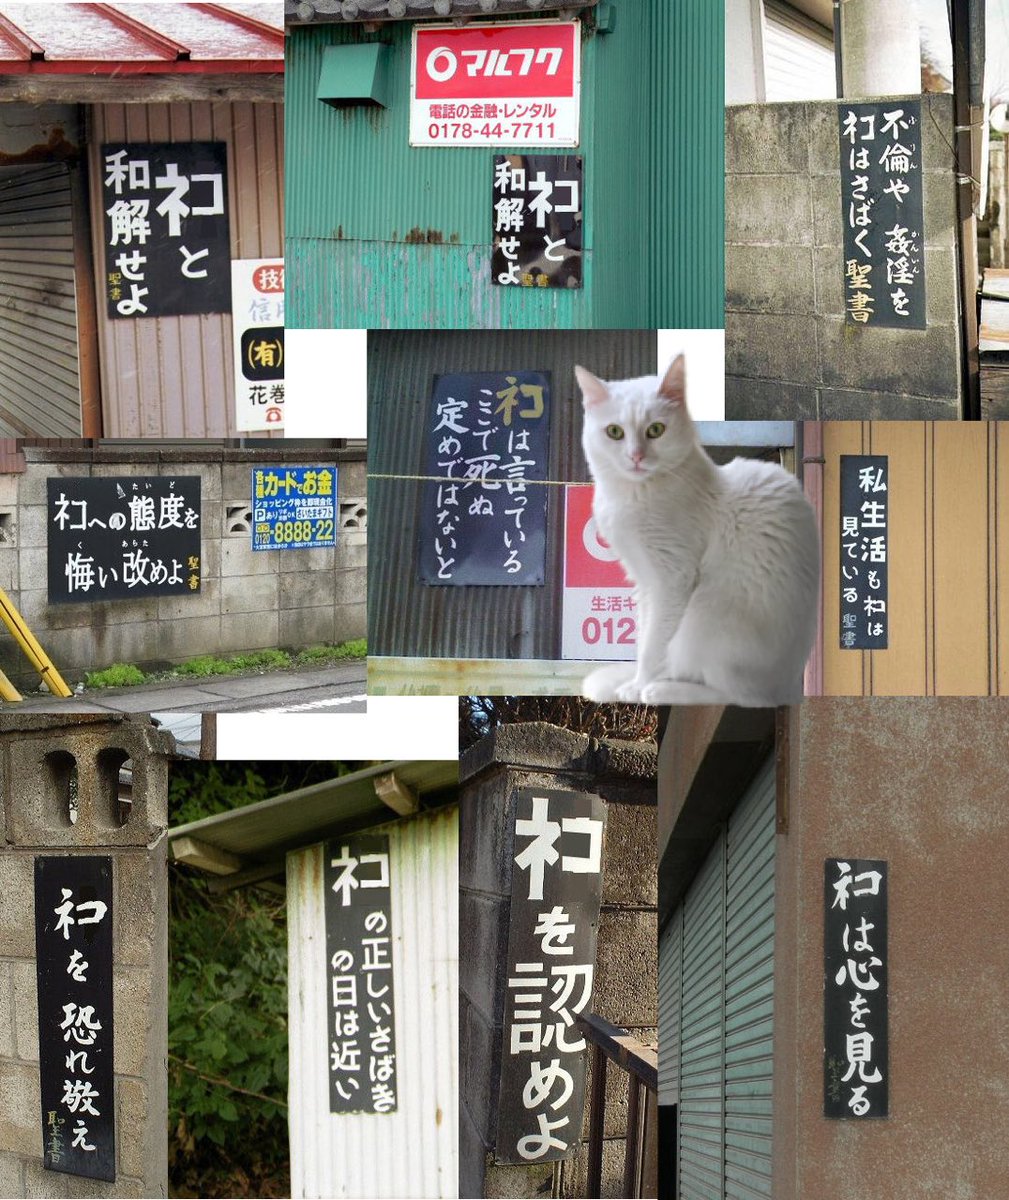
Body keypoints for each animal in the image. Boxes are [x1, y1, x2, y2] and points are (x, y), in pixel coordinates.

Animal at [575, 360, 820, 705]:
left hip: (705, 615)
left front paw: (640, 685)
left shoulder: (672, 578)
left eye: (656, 430)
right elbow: (644, 637)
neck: (631, 494)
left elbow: (654, 645)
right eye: (614, 432)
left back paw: (662, 689)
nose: (636, 456)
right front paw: (633, 681)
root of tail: (789, 685)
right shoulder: (644, 582)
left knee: (734, 696)